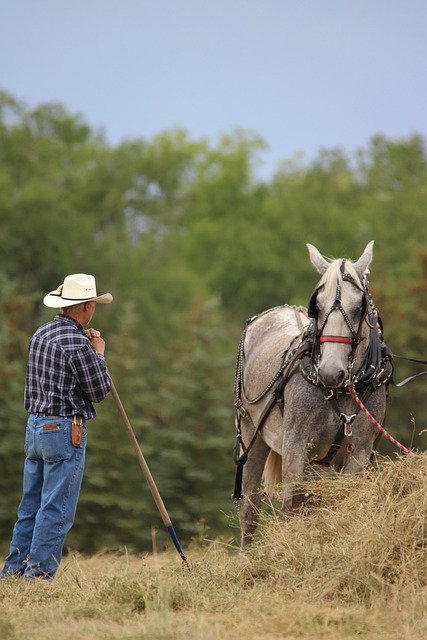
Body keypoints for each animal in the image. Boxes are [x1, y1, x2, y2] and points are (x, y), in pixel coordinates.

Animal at [233, 241, 393, 547]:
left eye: (359, 307)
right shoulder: (296, 445)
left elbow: (340, 501)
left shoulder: (359, 452)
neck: (340, 391)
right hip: (251, 433)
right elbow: (291, 506)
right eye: (316, 306)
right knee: (250, 507)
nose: (331, 372)